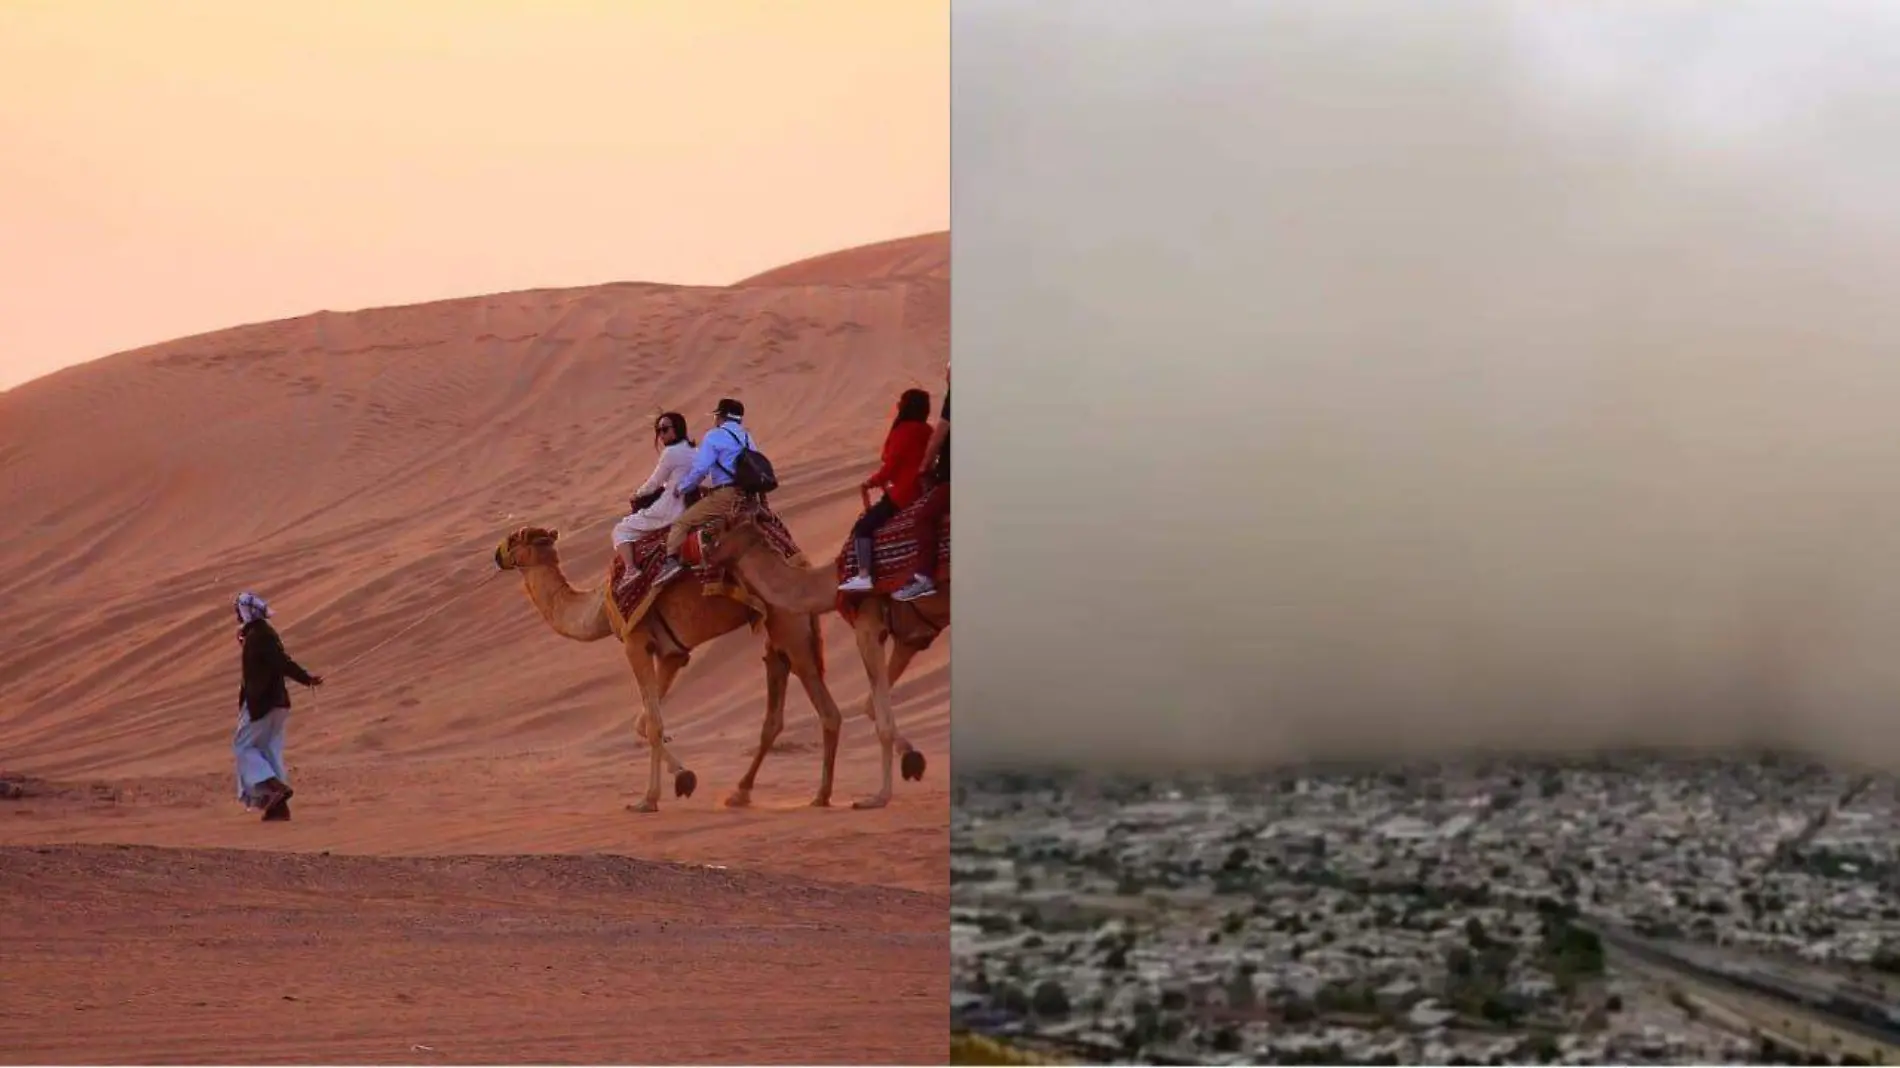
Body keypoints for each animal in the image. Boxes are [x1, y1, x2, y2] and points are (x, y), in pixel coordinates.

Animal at [497, 520, 847, 805]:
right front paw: (684, 779)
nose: (497, 556)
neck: (598, 608)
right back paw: (741, 793)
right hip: (780, 632)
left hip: (788, 623)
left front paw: (649, 799)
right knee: (775, 708)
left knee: (825, 707)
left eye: (514, 539)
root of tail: (800, 561)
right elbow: (644, 722)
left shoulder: (636, 642)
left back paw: (821, 795)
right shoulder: (673, 653)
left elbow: (652, 724)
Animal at [695, 516, 946, 805]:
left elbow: (880, 718)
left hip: (797, 649)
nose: (702, 546)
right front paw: (912, 761)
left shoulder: (869, 626)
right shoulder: (912, 636)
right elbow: (872, 705)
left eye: (720, 530)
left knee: (820, 713)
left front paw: (880, 797)